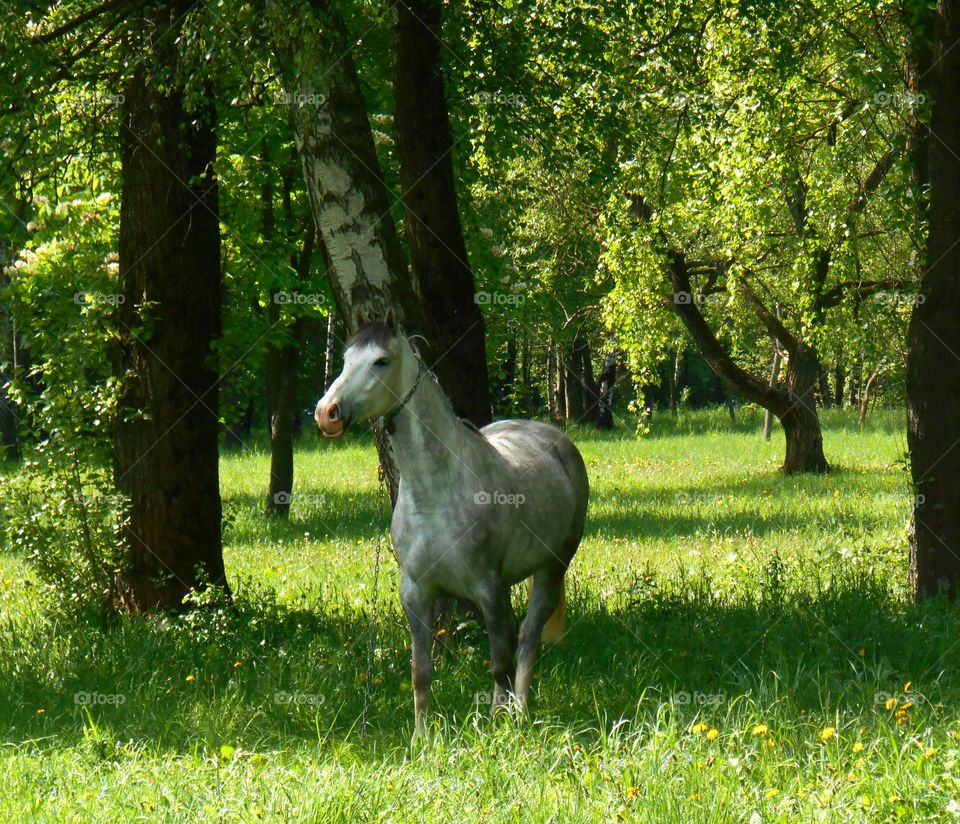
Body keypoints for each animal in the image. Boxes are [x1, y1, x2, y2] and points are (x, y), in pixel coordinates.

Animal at [316, 310, 588, 732]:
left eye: (380, 361)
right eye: (345, 360)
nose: (326, 414)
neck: (435, 494)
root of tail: (555, 440)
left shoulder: (487, 589)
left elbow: (498, 665)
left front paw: (496, 726)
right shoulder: (416, 594)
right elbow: (421, 671)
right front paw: (422, 736)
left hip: (552, 567)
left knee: (528, 637)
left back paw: (521, 713)